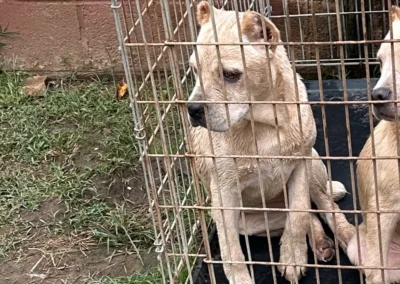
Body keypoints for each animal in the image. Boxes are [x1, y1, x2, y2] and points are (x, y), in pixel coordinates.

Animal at [186, 1, 352, 282]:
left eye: (231, 75)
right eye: (195, 71)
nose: (193, 109)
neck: (264, 124)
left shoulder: (300, 167)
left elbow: (298, 215)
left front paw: (292, 259)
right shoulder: (224, 194)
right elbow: (231, 248)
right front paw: (241, 278)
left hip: (315, 167)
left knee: (323, 208)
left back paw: (348, 238)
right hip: (255, 221)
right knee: (309, 217)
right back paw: (320, 243)